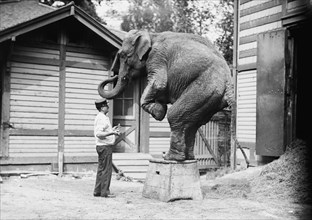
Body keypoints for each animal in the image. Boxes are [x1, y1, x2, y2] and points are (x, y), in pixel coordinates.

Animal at [98, 29, 234, 162]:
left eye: (122, 55)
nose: (114, 76)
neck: (151, 34)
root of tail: (229, 82)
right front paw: (159, 107)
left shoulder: (157, 56)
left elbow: (159, 83)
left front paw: (159, 112)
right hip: (210, 99)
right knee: (193, 123)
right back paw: (187, 158)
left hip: (204, 89)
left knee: (175, 116)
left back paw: (170, 157)